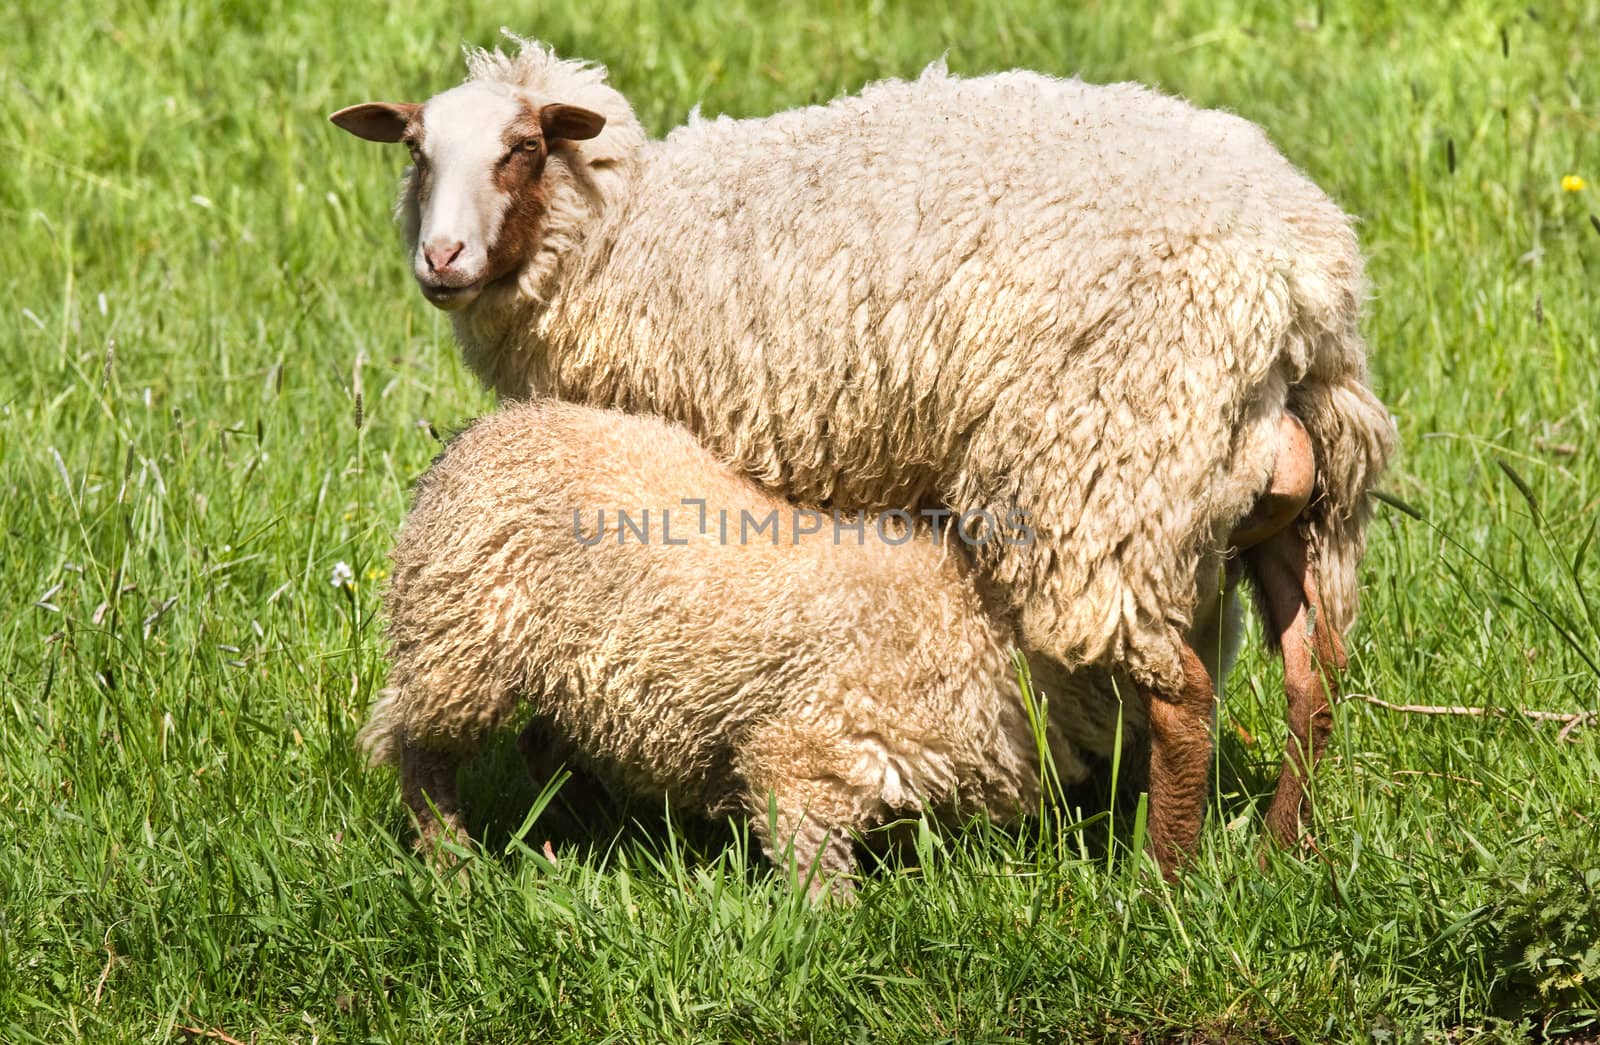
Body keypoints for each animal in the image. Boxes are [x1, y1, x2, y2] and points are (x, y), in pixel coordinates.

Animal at [366, 400, 1113, 896]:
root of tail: (478, 432)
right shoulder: (805, 749)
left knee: (540, 743)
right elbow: (816, 868)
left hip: (575, 669)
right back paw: (452, 861)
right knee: (414, 745)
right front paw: (833, 942)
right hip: (462, 637)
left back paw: (598, 828)